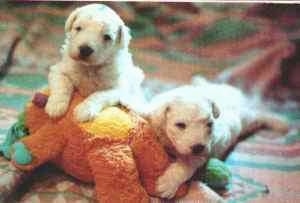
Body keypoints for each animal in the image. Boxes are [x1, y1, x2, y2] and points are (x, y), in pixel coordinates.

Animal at [145, 77, 288, 198]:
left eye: (209, 124)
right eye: (180, 125)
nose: (198, 147)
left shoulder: (203, 152)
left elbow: (186, 165)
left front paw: (167, 184)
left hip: (249, 117)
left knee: (260, 114)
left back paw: (280, 123)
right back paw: (199, 80)